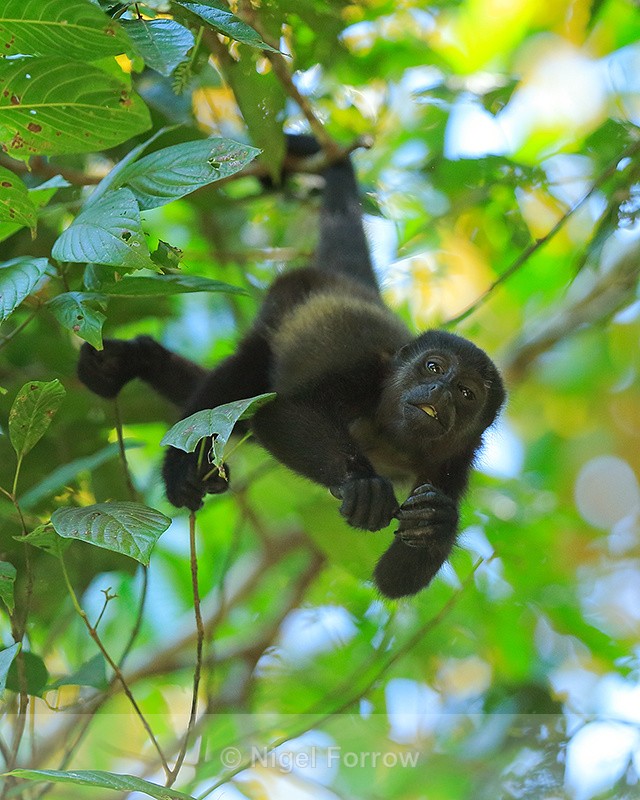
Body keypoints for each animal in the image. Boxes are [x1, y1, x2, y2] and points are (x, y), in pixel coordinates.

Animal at [78, 133, 505, 599]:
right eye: (433, 367)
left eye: (466, 393)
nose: (441, 393)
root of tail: (352, 286)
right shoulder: (363, 376)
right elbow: (278, 411)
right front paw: (362, 483)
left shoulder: (457, 462)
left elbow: (396, 580)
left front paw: (436, 524)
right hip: (286, 297)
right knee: (240, 383)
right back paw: (181, 469)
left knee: (235, 417)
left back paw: (138, 358)